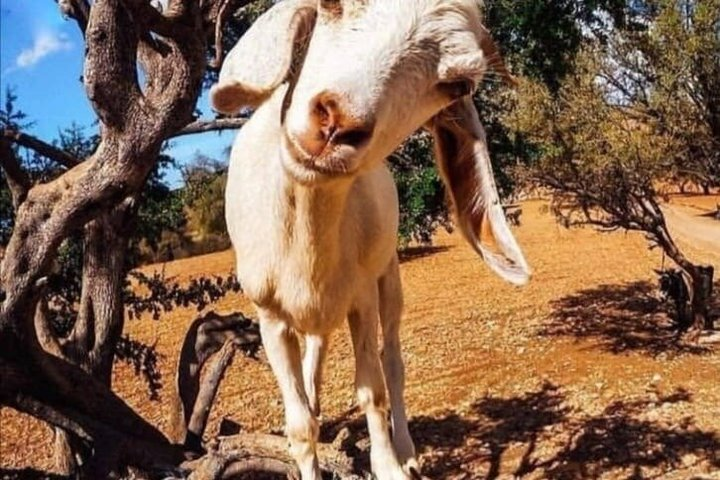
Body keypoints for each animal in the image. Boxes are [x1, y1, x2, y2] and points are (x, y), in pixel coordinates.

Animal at [211, 1, 530, 478]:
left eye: (457, 85)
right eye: (331, 5)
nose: (335, 125)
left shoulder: (361, 296)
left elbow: (372, 390)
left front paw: (389, 463)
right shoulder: (269, 316)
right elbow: (300, 424)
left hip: (389, 276)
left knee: (392, 360)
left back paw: (407, 449)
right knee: (317, 360)